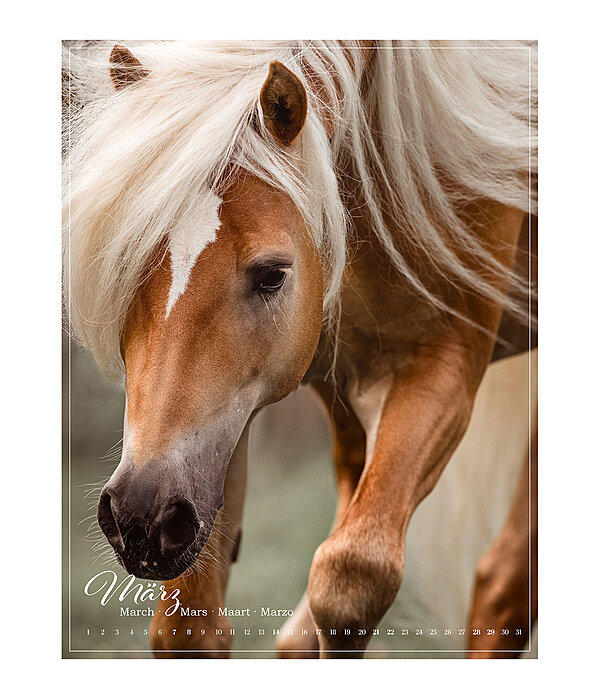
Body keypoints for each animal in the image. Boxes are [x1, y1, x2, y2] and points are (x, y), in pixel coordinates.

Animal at [63, 40, 537, 658]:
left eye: (271, 275)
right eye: (123, 264)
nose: (141, 514)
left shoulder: (444, 364)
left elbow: (351, 579)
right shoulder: (228, 424)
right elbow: (190, 628)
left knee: (504, 581)